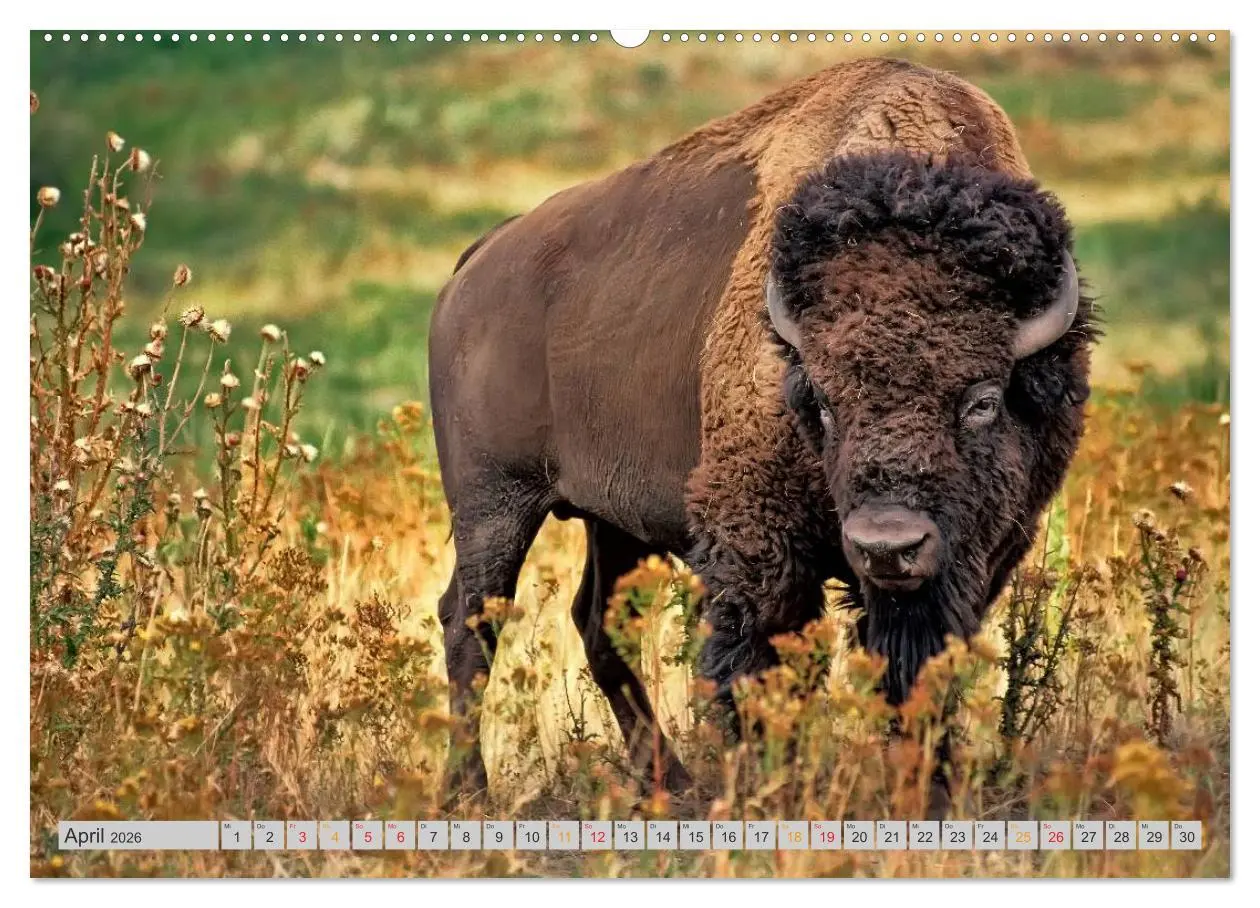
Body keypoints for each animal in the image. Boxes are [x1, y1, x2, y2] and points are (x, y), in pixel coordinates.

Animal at [428, 58, 1095, 792]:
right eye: (823, 401)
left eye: (982, 399)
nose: (887, 545)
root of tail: (478, 262)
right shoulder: (758, 546)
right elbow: (758, 665)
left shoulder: (977, 558)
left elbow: (917, 669)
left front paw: (927, 784)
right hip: (494, 503)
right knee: (472, 622)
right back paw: (471, 789)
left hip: (610, 517)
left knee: (595, 620)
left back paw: (671, 781)